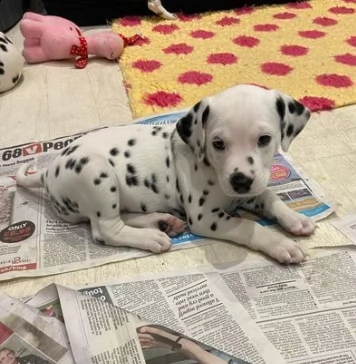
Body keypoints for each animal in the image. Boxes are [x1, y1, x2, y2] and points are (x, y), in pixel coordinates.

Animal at [16, 84, 314, 264]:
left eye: (264, 139)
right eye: (218, 143)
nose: (240, 181)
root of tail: (48, 171)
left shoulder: (250, 191)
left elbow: (270, 197)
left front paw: (295, 218)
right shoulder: (205, 218)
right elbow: (249, 225)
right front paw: (280, 243)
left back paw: (162, 222)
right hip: (95, 172)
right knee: (105, 229)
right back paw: (151, 237)